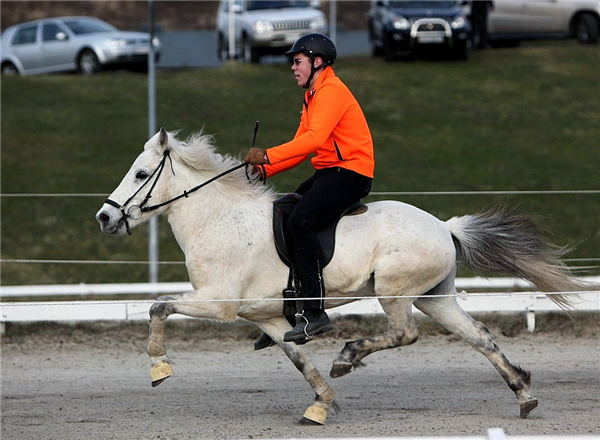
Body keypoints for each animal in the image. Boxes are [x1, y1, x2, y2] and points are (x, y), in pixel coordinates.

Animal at [96, 129, 592, 424]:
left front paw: (159, 366)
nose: (105, 217)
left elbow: (158, 306)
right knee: (481, 337)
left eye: (141, 173)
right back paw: (523, 395)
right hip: (436, 297)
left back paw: (349, 355)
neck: (217, 219)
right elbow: (300, 361)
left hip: (395, 292)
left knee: (405, 334)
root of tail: (443, 227)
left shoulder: (218, 302)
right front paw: (322, 403)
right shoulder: (267, 318)